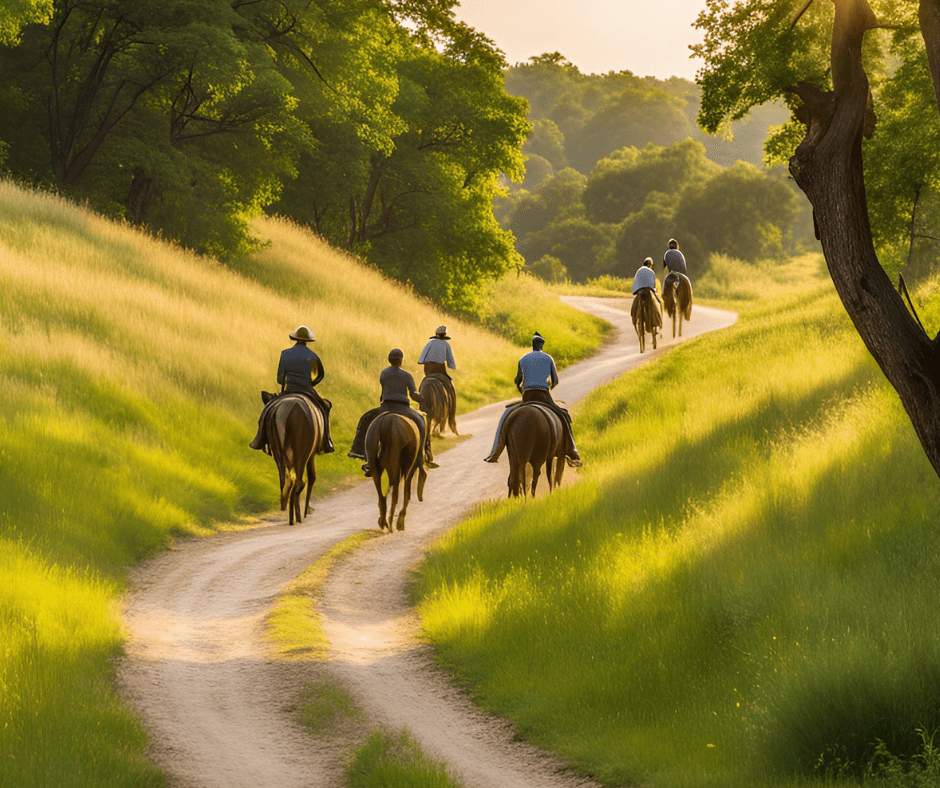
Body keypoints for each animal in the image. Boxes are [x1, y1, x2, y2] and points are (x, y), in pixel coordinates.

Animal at [260, 392, 326, 528]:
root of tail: (288, 409)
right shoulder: (310, 454)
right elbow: (312, 477)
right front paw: (305, 511)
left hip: (278, 449)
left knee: (286, 481)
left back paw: (287, 506)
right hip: (301, 451)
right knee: (299, 482)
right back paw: (297, 516)